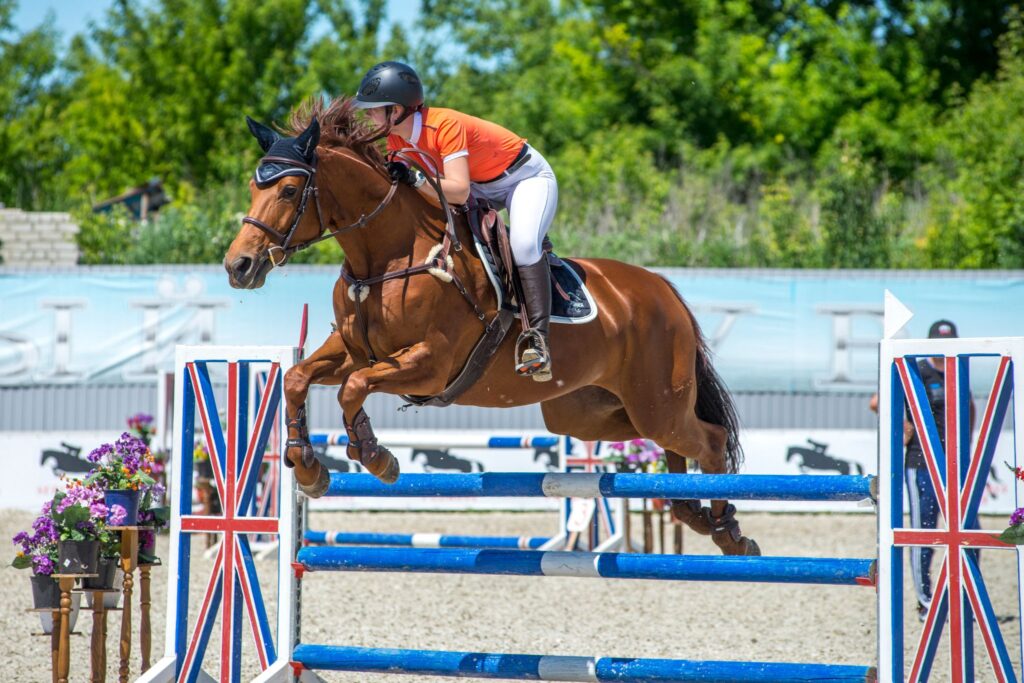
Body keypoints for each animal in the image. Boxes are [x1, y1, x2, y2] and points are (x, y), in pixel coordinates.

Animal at [228, 97, 765, 557]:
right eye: (253, 188)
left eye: (290, 190)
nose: (239, 266)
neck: (388, 257)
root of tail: (662, 290)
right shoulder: (352, 350)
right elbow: (299, 377)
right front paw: (307, 465)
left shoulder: (430, 364)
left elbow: (355, 387)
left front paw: (375, 455)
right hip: (590, 412)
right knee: (666, 446)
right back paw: (693, 511)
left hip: (656, 401)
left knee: (708, 439)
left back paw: (727, 531)